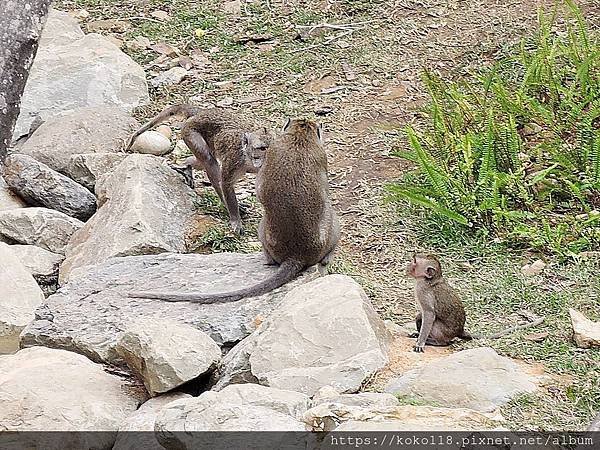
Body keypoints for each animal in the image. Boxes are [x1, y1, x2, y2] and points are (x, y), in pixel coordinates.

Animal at [129, 104, 274, 234]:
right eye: (262, 148)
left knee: (202, 161)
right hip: (190, 132)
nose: (271, 155)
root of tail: (199, 113)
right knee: (209, 161)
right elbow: (225, 184)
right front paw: (235, 219)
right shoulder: (234, 159)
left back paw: (187, 164)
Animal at [408, 255, 544, 354]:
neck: (429, 281)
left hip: (444, 332)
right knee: (420, 317)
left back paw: (436, 342)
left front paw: (420, 342)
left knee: (436, 328)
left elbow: (429, 315)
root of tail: (460, 331)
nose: (407, 266)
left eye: (414, 261)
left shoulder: (424, 292)